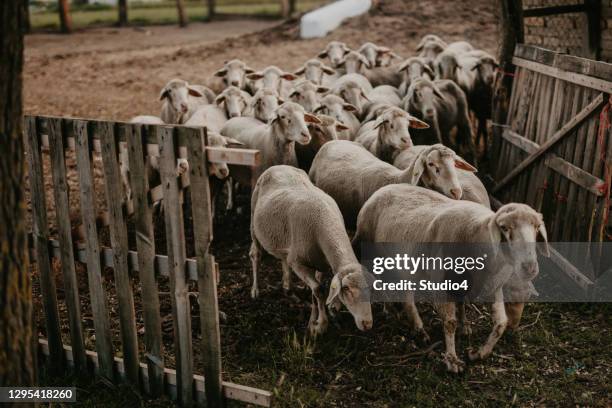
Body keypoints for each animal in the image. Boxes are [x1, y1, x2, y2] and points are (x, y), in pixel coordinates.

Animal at [249, 165, 372, 334]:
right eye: (347, 289)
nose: (368, 324)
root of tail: (279, 166)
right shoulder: (298, 263)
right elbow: (319, 290)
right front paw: (320, 325)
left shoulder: (321, 263)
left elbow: (316, 291)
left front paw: (313, 320)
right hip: (254, 220)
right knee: (256, 254)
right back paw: (255, 290)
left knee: (284, 259)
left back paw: (288, 288)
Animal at [354, 185, 548, 372]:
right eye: (504, 227)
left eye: (537, 227)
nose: (530, 267)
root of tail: (382, 189)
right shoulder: (441, 283)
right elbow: (449, 322)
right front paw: (452, 359)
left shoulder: (492, 286)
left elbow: (500, 322)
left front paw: (479, 351)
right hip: (373, 251)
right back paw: (396, 314)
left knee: (406, 294)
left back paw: (415, 324)